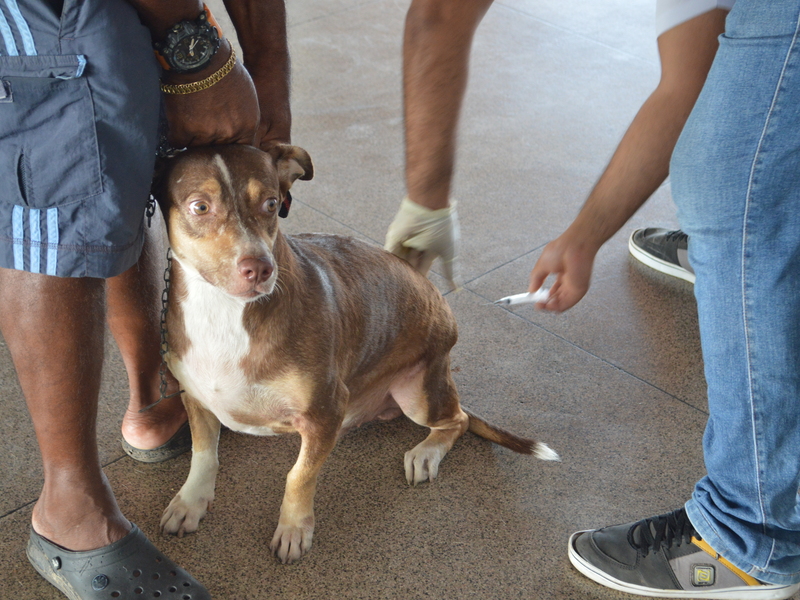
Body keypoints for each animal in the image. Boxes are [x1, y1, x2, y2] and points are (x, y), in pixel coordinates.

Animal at [155, 144, 556, 564]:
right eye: (200, 207)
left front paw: (294, 528)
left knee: (457, 420)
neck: (224, 311)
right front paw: (190, 502)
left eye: (271, 203)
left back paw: (426, 454)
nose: (260, 269)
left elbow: (299, 476)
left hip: (417, 394)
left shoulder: (324, 410)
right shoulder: (195, 397)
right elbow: (204, 455)